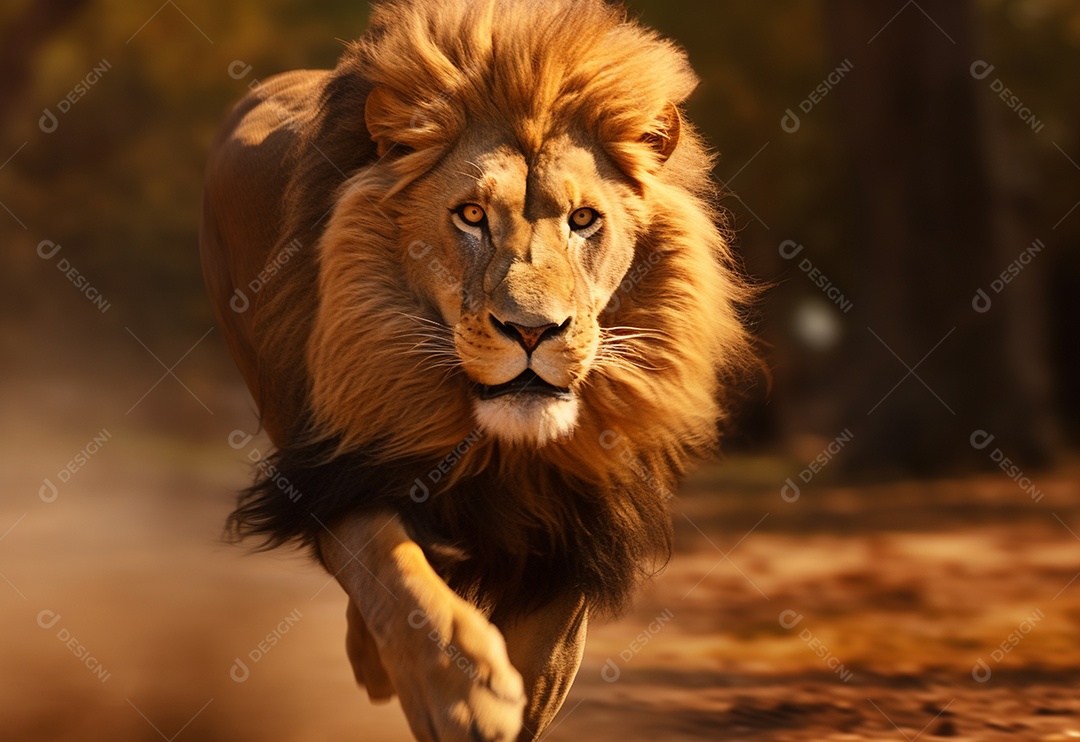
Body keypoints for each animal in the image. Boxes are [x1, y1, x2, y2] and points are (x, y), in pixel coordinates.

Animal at [199, 0, 754, 739]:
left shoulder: (576, 533)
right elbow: (393, 569)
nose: (533, 330)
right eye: (469, 215)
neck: (502, 447)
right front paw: (463, 692)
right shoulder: (338, 467)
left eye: (584, 219)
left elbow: (538, 662)